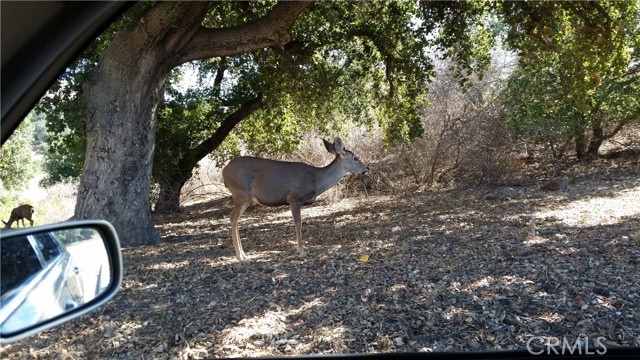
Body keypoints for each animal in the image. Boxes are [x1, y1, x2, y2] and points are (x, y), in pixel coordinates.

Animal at [221, 136, 368, 260]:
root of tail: (224, 171)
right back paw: (240, 256)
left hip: (246, 198)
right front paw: (301, 251)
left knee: (235, 219)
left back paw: (243, 254)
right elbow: (298, 223)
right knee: (232, 218)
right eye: (355, 158)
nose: (366, 169)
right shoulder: (294, 198)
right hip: (240, 193)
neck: (316, 180)